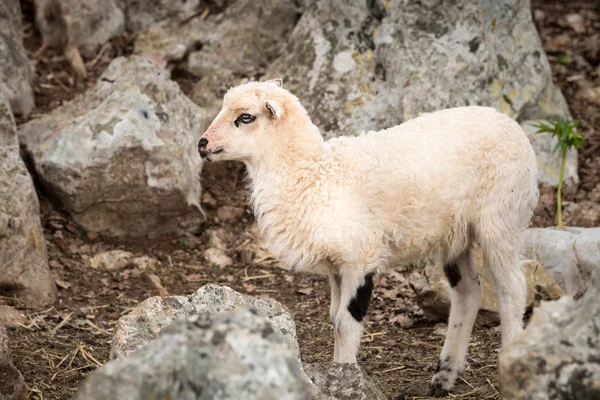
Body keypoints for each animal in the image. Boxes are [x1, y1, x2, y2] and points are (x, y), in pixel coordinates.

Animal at [197, 79, 540, 396]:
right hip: (455, 235)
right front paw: (339, 375)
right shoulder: (336, 267)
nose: (202, 144)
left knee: (512, 289)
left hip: (501, 218)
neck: (315, 175)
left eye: (246, 117)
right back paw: (443, 376)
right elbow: (334, 320)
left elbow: (346, 323)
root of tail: (512, 125)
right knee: (469, 291)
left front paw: (346, 380)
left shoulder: (360, 259)